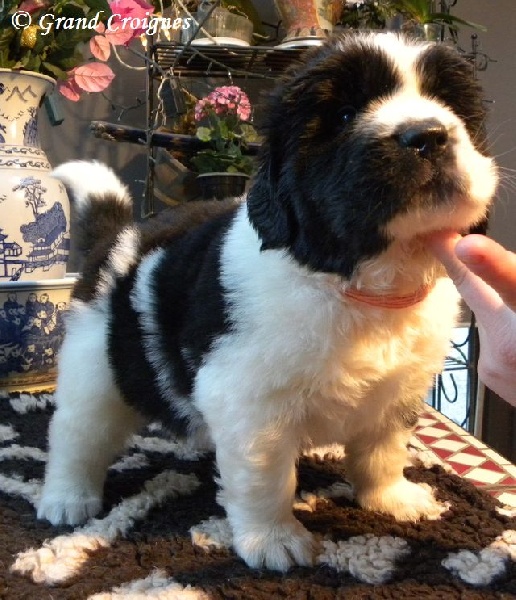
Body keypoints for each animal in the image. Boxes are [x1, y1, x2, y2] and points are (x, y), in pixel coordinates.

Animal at [38, 33, 498, 571]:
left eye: (448, 102)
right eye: (343, 114)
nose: (426, 135)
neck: (361, 282)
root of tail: (117, 239)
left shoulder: (398, 389)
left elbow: (382, 449)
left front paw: (392, 499)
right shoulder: (251, 403)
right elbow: (265, 476)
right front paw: (274, 539)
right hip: (94, 367)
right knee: (77, 435)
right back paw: (67, 499)